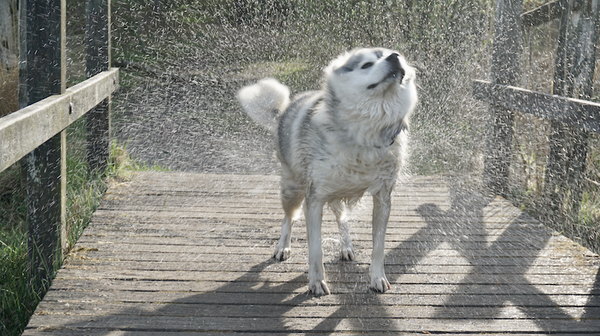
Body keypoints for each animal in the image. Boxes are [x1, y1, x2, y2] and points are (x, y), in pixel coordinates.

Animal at [236, 48, 418, 296]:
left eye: (391, 53)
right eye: (366, 64)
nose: (395, 57)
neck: (364, 132)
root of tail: (283, 111)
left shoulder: (383, 198)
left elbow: (378, 246)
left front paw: (377, 278)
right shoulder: (314, 199)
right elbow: (315, 248)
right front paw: (317, 283)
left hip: (337, 191)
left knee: (342, 218)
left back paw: (346, 246)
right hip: (292, 189)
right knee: (288, 218)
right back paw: (283, 247)